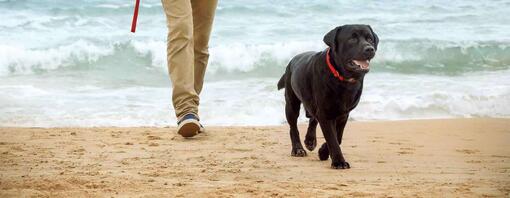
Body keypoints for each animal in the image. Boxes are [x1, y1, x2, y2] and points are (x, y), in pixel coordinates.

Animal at [276, 24, 376, 169]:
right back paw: (298, 149)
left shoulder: (343, 114)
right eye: (352, 38)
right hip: (291, 103)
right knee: (293, 127)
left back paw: (310, 140)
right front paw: (339, 161)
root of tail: (292, 61)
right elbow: (332, 138)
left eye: (370, 39)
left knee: (313, 118)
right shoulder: (326, 113)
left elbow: (338, 137)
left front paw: (323, 152)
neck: (342, 79)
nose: (369, 49)